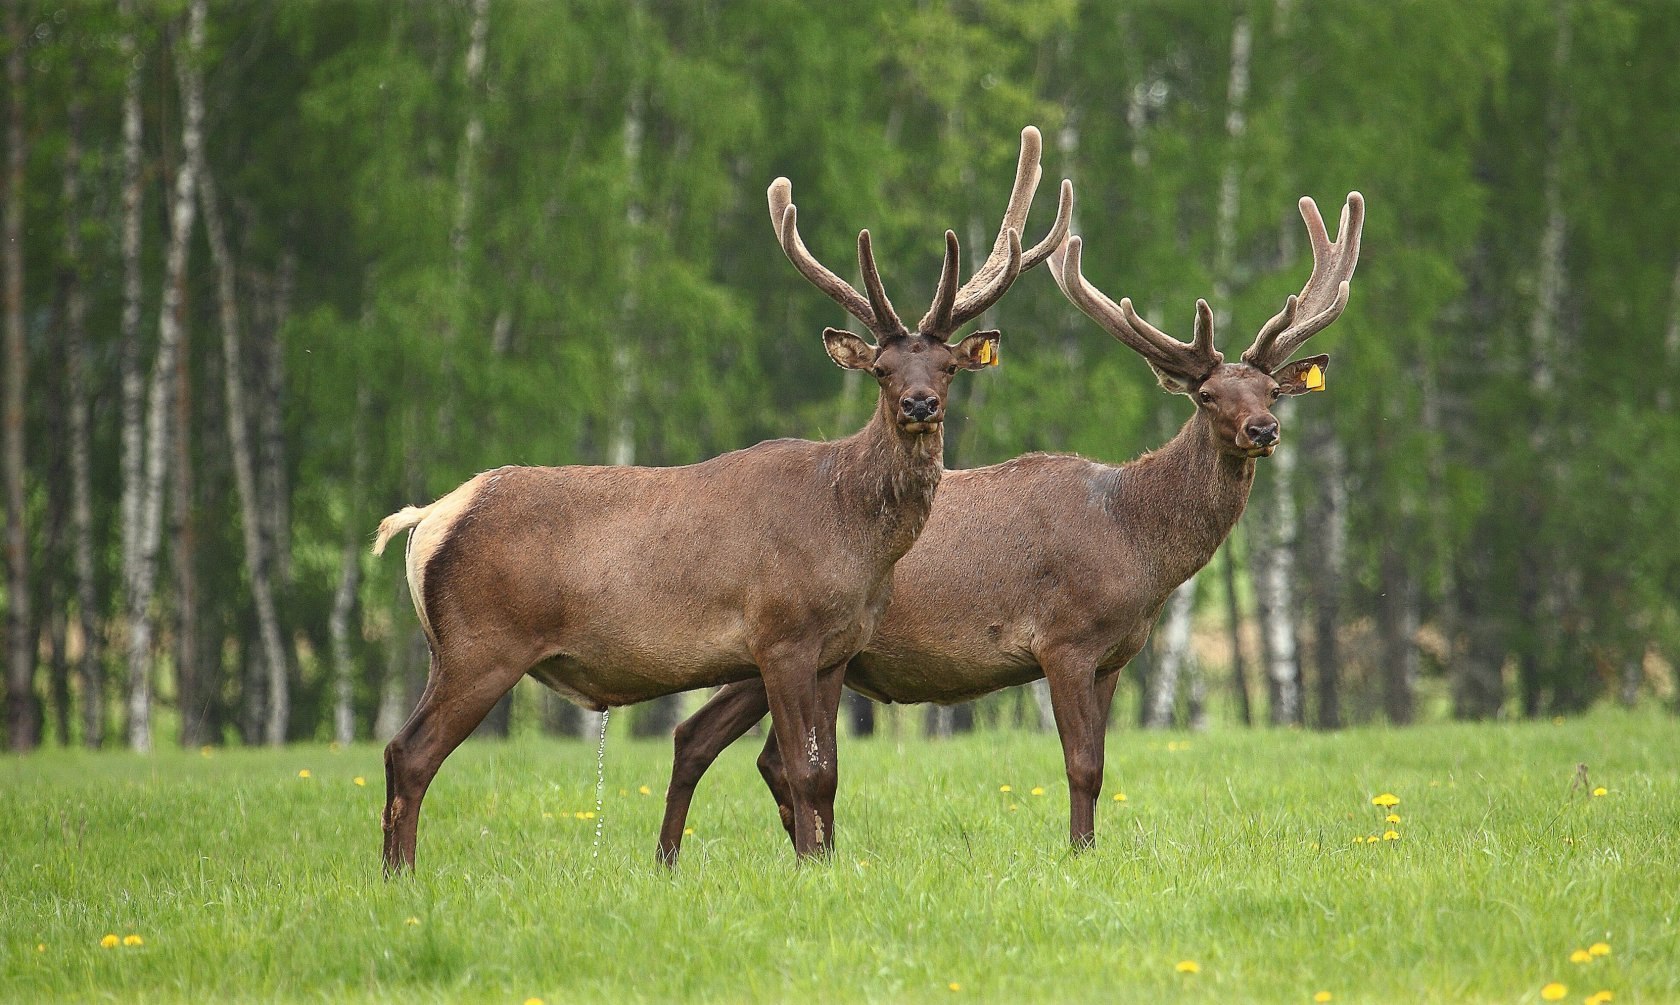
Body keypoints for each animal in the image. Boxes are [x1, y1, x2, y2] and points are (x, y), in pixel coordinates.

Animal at [374, 127, 1068, 873]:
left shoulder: (837, 649)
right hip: (483, 642)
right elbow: (804, 769)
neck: (852, 537)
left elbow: (828, 773)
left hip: (448, 649)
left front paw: (822, 865)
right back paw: (400, 876)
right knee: (411, 753)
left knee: (397, 748)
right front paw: (809, 866)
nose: (919, 403)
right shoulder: (780, 633)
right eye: (882, 370)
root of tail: (429, 519)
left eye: (945, 366)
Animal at [655, 187, 1364, 857]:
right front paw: (1079, 852)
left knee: (716, 740)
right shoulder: (1065, 639)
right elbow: (1083, 765)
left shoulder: (1115, 655)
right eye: (1208, 395)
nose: (1263, 430)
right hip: (772, 637)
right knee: (729, 743)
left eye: (1271, 392)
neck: (1134, 544)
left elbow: (1101, 762)